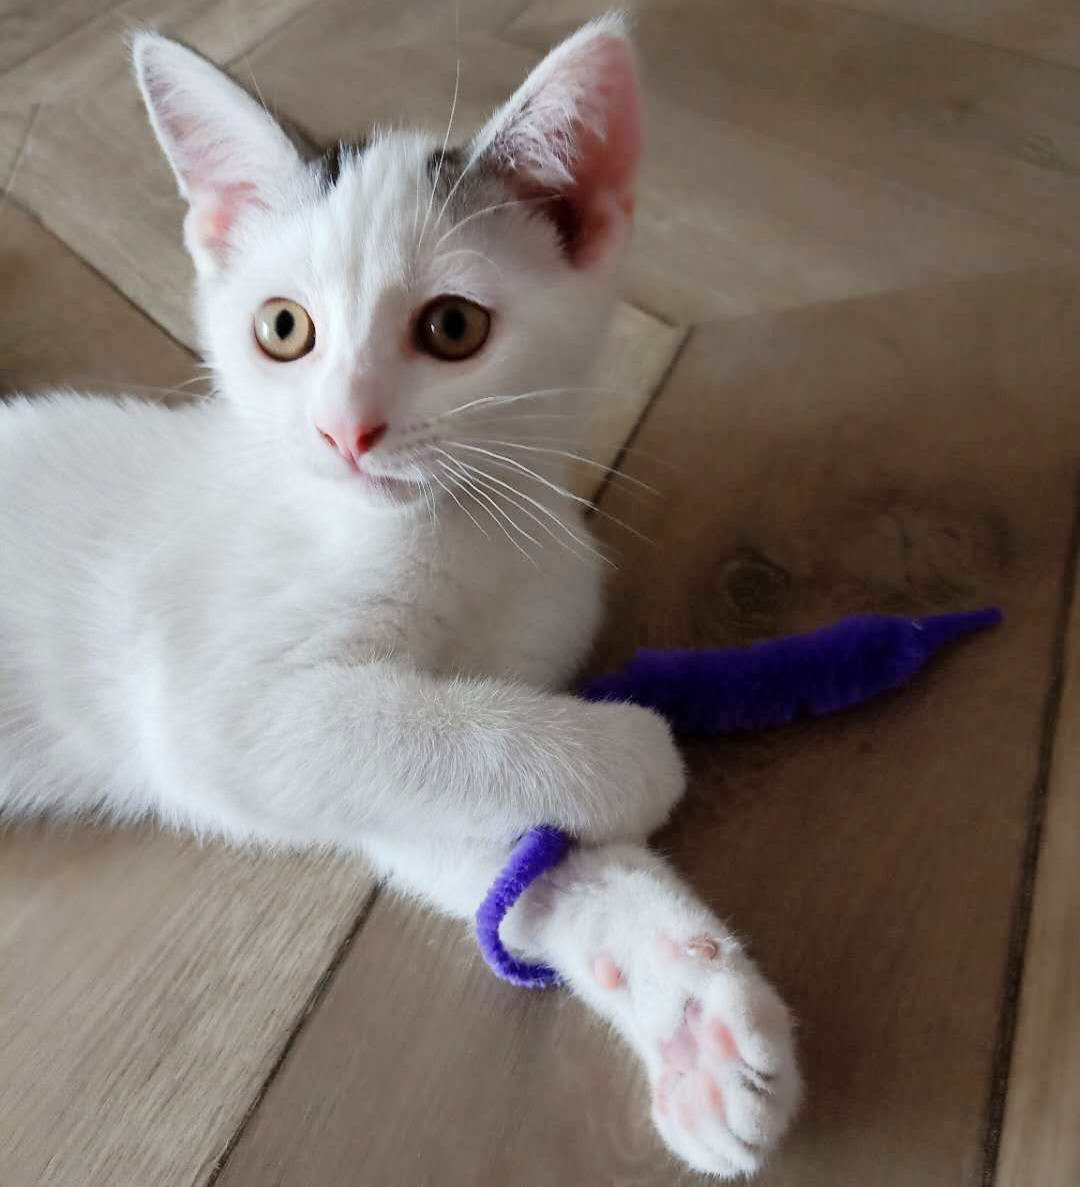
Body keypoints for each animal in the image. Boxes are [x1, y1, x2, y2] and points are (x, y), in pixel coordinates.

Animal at [0, 15, 800, 1176]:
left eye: (453, 328)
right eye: (282, 329)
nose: (346, 429)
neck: (464, 531)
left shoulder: (408, 746)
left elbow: (505, 846)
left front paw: (694, 1008)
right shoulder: (223, 714)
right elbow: (438, 727)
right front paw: (628, 751)